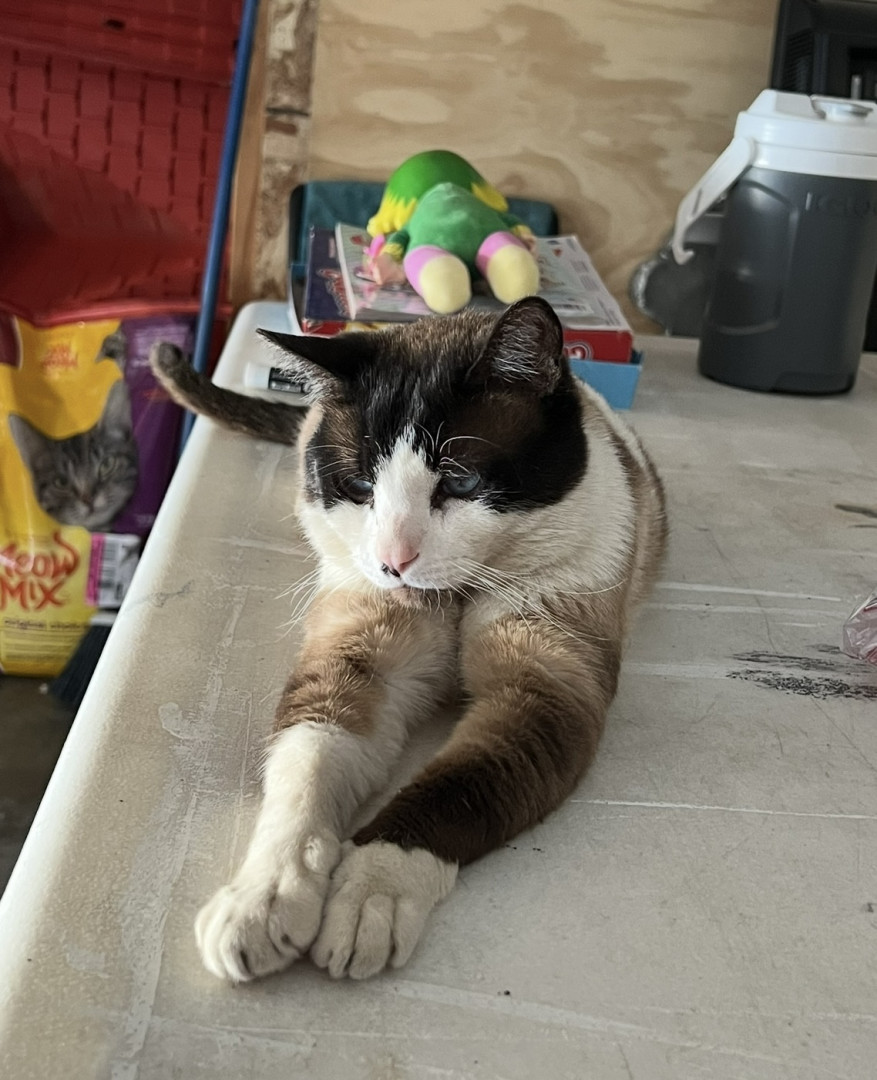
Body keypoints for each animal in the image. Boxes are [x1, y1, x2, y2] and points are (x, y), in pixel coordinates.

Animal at [150, 296, 667, 983]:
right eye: (361, 488)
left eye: (462, 482)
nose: (395, 562)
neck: (453, 596)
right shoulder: (357, 664)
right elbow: (304, 773)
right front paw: (264, 900)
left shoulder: (541, 693)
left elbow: (454, 790)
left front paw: (370, 895)